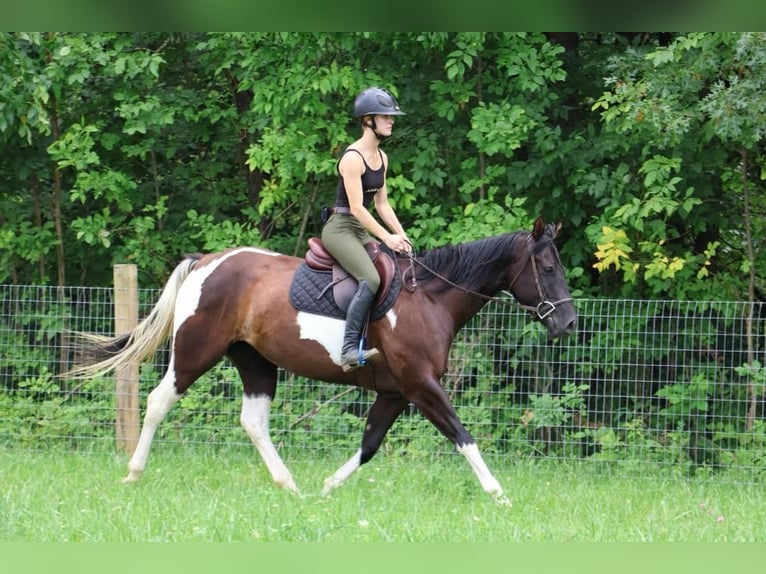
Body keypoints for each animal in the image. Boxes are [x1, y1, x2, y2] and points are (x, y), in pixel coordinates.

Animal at [67, 216, 577, 500]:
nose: (569, 323)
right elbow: (462, 436)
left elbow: (370, 445)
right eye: (548, 267)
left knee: (253, 422)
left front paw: (328, 488)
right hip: (195, 352)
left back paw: (289, 486)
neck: (429, 298)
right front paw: (497, 493)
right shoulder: (421, 386)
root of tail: (207, 262)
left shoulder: (396, 392)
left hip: (256, 362)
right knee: (158, 401)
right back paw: (133, 475)